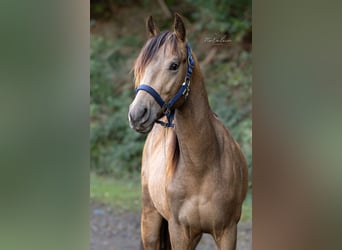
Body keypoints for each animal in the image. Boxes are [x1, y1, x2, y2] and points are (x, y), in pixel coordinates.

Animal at [127, 13, 247, 250]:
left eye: (174, 65)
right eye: (140, 67)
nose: (137, 114)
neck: (200, 167)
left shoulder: (227, 232)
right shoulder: (179, 232)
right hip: (150, 221)